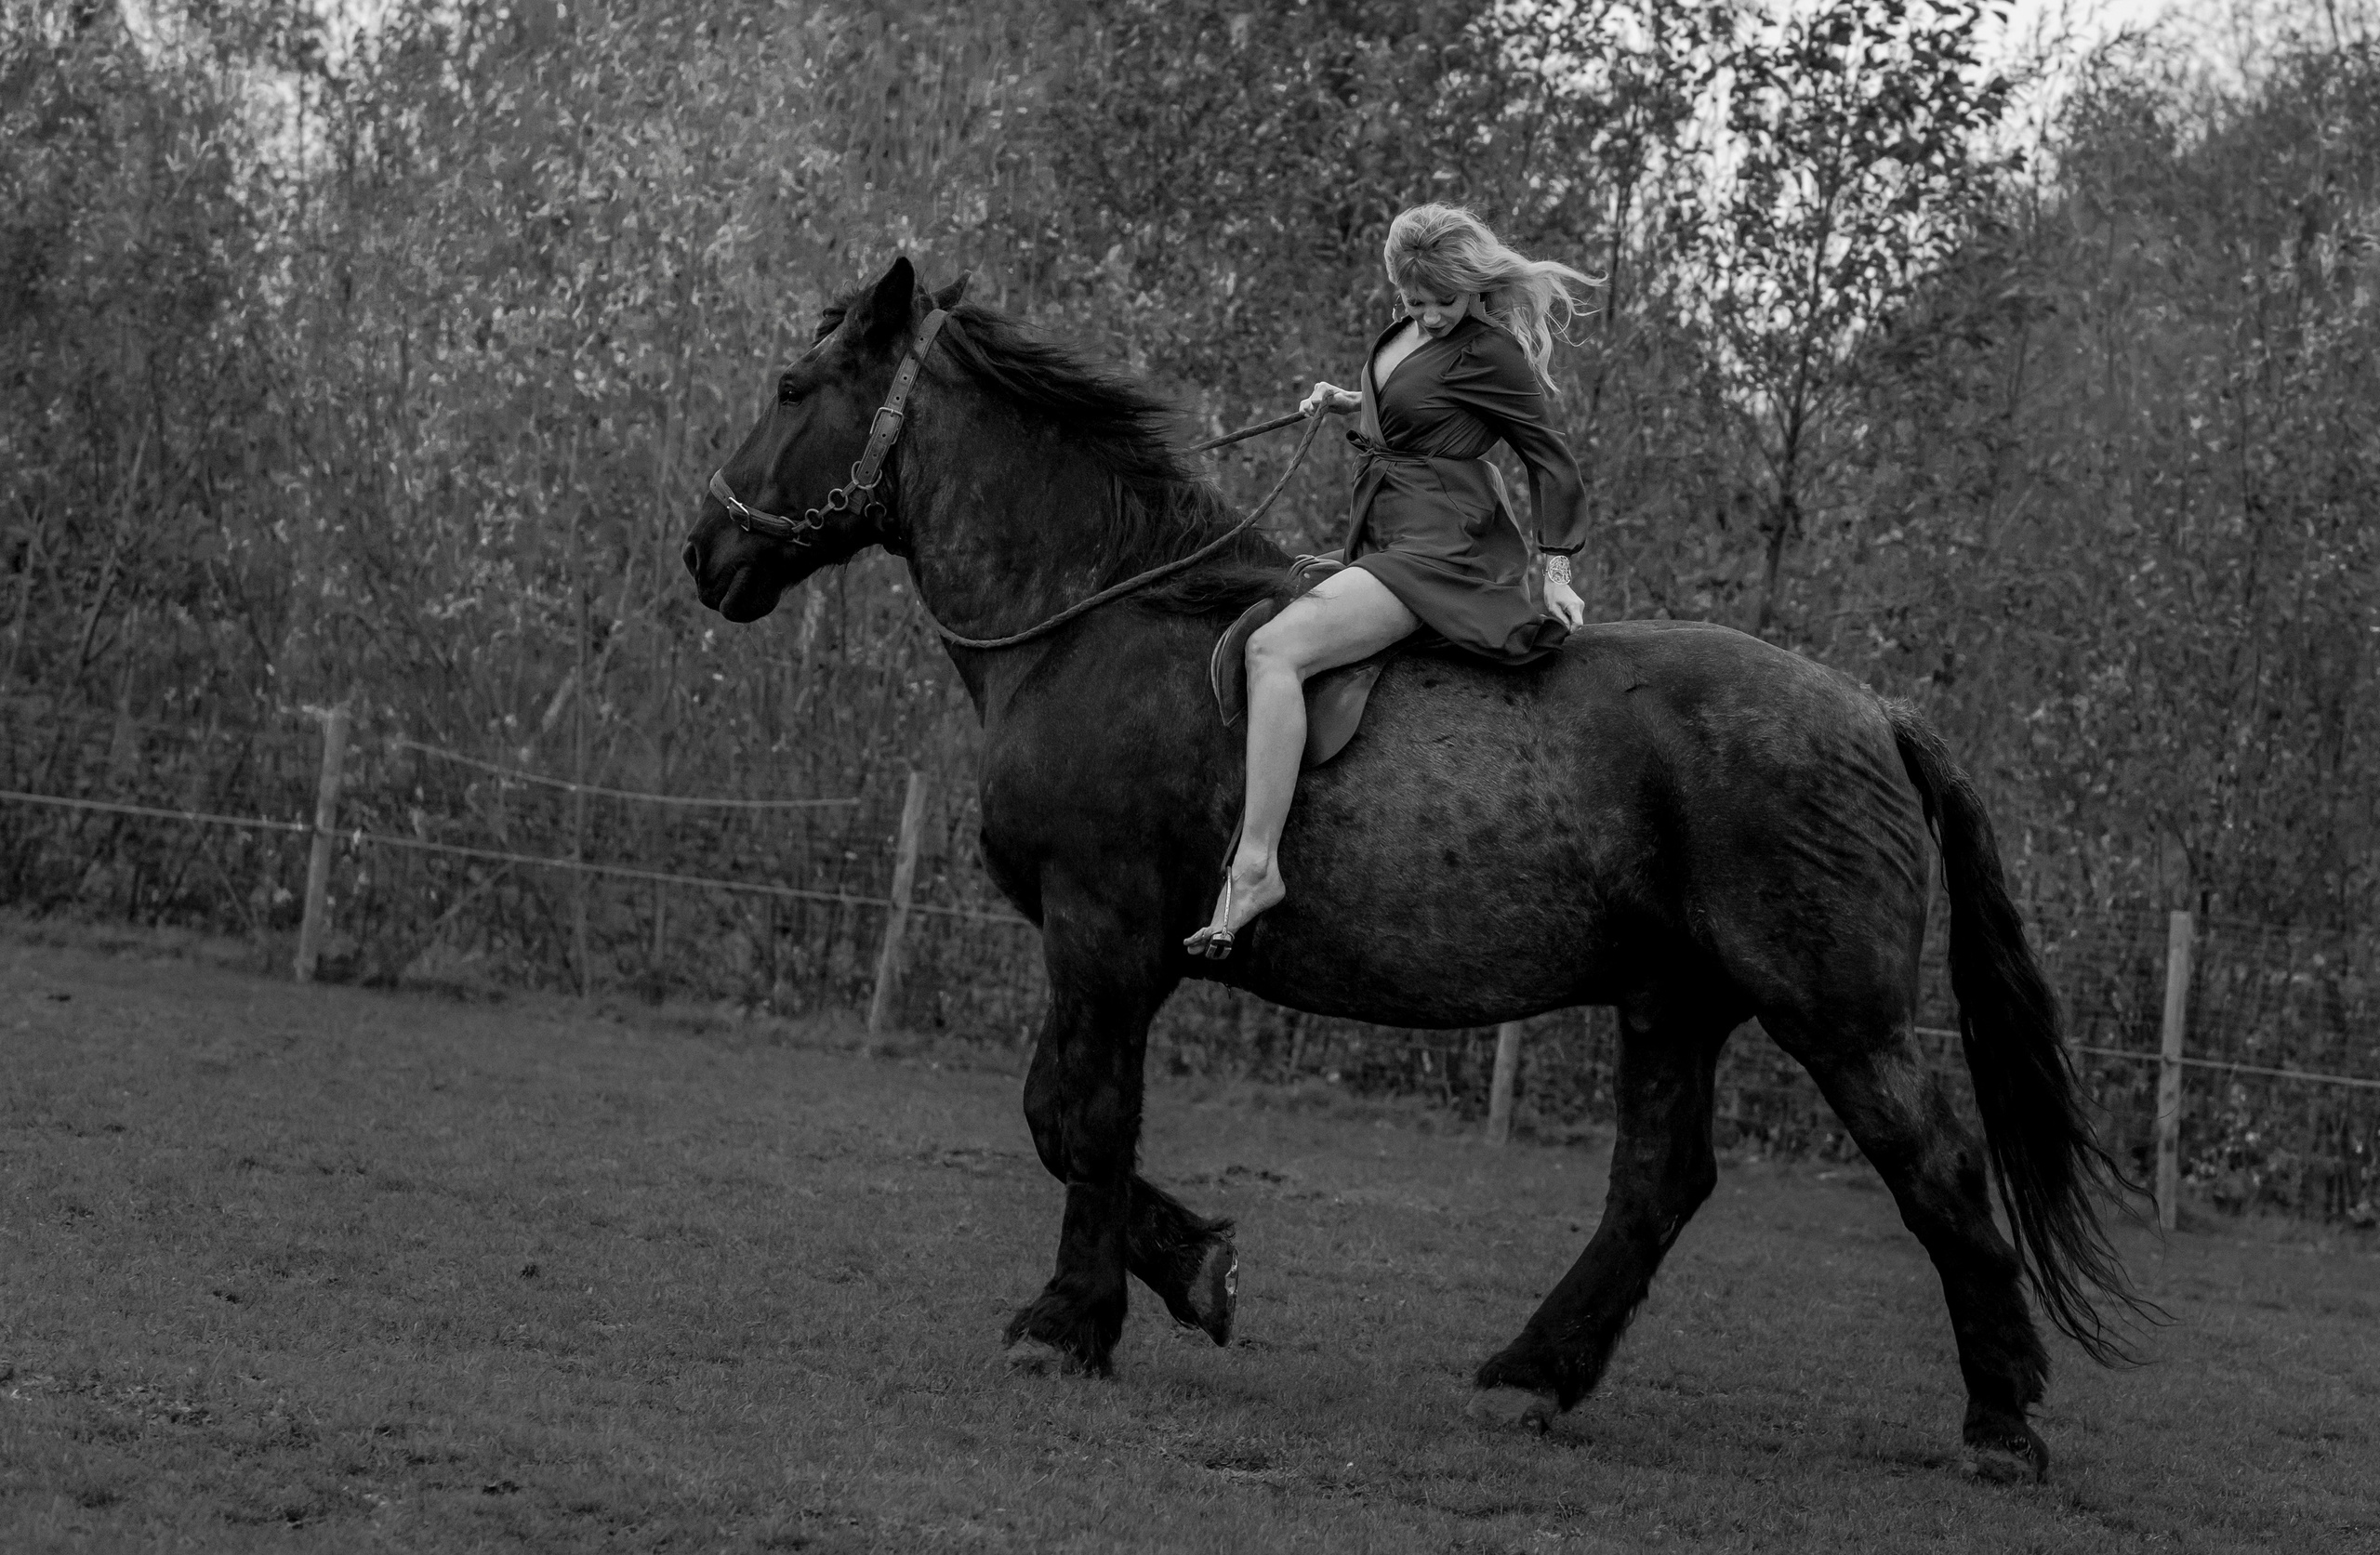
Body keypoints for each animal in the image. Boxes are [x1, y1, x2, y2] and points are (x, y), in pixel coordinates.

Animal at [680, 257, 2144, 1480]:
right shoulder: (1111, 952)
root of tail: (1872, 710)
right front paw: (1189, 1273)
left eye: (792, 388)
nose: (708, 551)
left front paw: (1073, 1320)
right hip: (1675, 997)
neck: (1097, 619)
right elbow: (1067, 1122)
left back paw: (2001, 1421)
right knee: (1660, 1182)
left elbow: (1077, 1119)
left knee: (1935, 1169)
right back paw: (1533, 1373)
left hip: (1835, 1010)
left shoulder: (1099, 936)